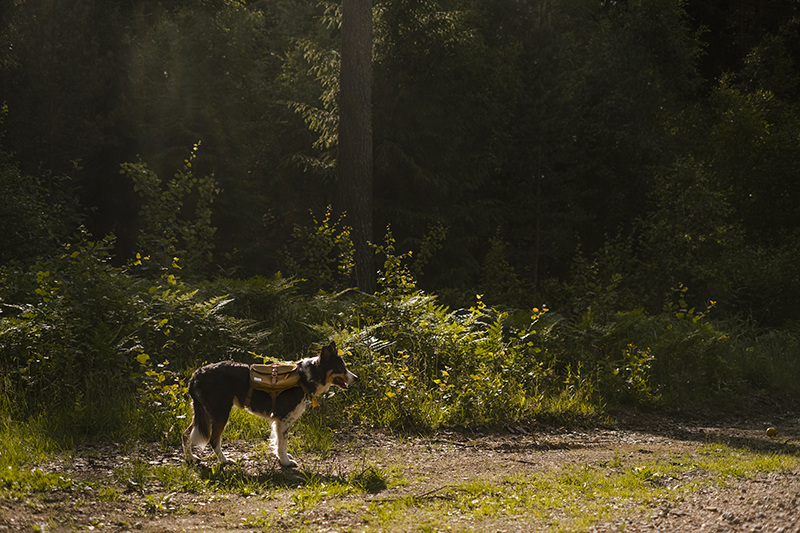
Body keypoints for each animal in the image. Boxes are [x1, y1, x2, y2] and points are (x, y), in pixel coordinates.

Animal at [183, 340, 358, 466]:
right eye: (341, 368)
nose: (356, 378)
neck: (304, 378)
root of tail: (196, 374)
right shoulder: (284, 419)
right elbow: (282, 444)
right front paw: (286, 462)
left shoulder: (278, 421)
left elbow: (277, 442)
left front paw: (281, 459)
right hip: (220, 413)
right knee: (213, 440)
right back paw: (225, 461)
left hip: (203, 414)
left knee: (186, 434)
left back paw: (191, 458)